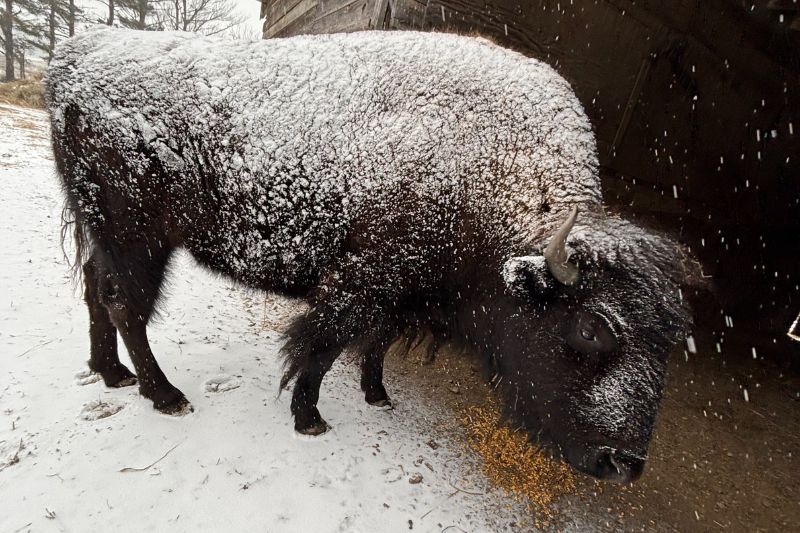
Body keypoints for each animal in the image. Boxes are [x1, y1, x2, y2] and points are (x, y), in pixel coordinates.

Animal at [45, 28, 701, 482]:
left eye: (671, 342)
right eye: (590, 328)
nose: (623, 464)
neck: (491, 176)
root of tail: (78, 53)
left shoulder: (403, 293)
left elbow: (377, 341)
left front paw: (378, 394)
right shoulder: (363, 281)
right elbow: (323, 344)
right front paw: (310, 418)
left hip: (106, 234)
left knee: (95, 292)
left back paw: (111, 374)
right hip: (138, 240)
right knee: (125, 305)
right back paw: (165, 395)